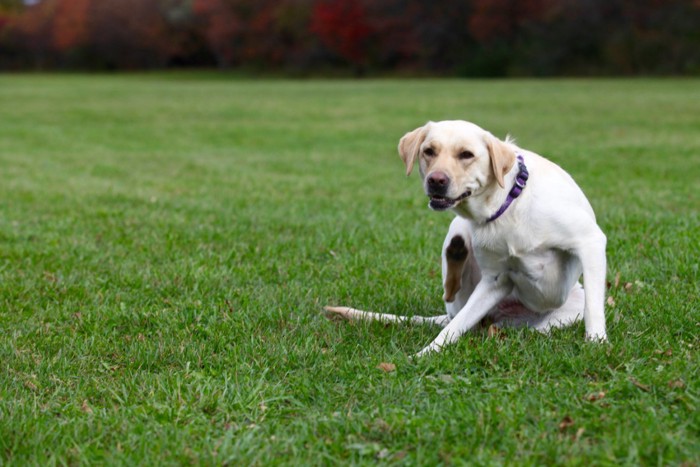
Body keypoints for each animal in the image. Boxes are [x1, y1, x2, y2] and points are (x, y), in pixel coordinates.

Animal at [328, 119, 608, 356]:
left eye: (466, 154)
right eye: (429, 151)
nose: (436, 180)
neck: (507, 205)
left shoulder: (590, 242)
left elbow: (594, 307)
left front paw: (597, 343)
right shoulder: (495, 280)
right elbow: (451, 331)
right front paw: (422, 356)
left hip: (554, 317)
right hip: (461, 261)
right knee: (454, 308)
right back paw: (457, 252)